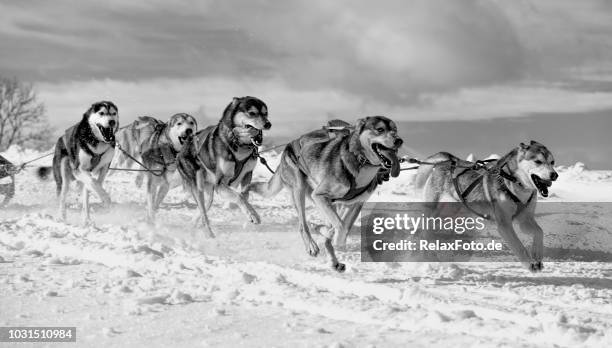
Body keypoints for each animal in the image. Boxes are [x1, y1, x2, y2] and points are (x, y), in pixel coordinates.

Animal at [178, 96, 272, 237]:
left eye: (266, 113)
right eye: (252, 113)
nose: (268, 124)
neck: (239, 145)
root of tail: (182, 149)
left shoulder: (247, 175)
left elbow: (245, 196)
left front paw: (251, 215)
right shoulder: (220, 184)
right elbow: (239, 196)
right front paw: (253, 215)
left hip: (209, 193)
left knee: (203, 209)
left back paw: (192, 225)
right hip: (198, 186)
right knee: (204, 213)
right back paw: (210, 234)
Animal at [246, 117, 404, 272]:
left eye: (395, 130)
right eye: (380, 129)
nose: (399, 140)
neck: (360, 161)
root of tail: (291, 144)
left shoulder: (354, 204)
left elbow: (341, 230)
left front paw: (328, 237)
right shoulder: (320, 196)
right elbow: (340, 227)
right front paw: (327, 235)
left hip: (329, 202)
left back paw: (331, 253)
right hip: (300, 190)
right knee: (303, 225)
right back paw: (312, 244)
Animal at [416, 141, 560, 272]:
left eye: (552, 162)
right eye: (538, 161)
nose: (554, 175)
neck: (514, 183)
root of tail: (448, 161)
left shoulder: (525, 219)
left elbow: (539, 231)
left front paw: (537, 254)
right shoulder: (504, 225)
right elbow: (518, 246)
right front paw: (529, 264)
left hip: (449, 213)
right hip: (433, 210)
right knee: (424, 232)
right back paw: (427, 256)